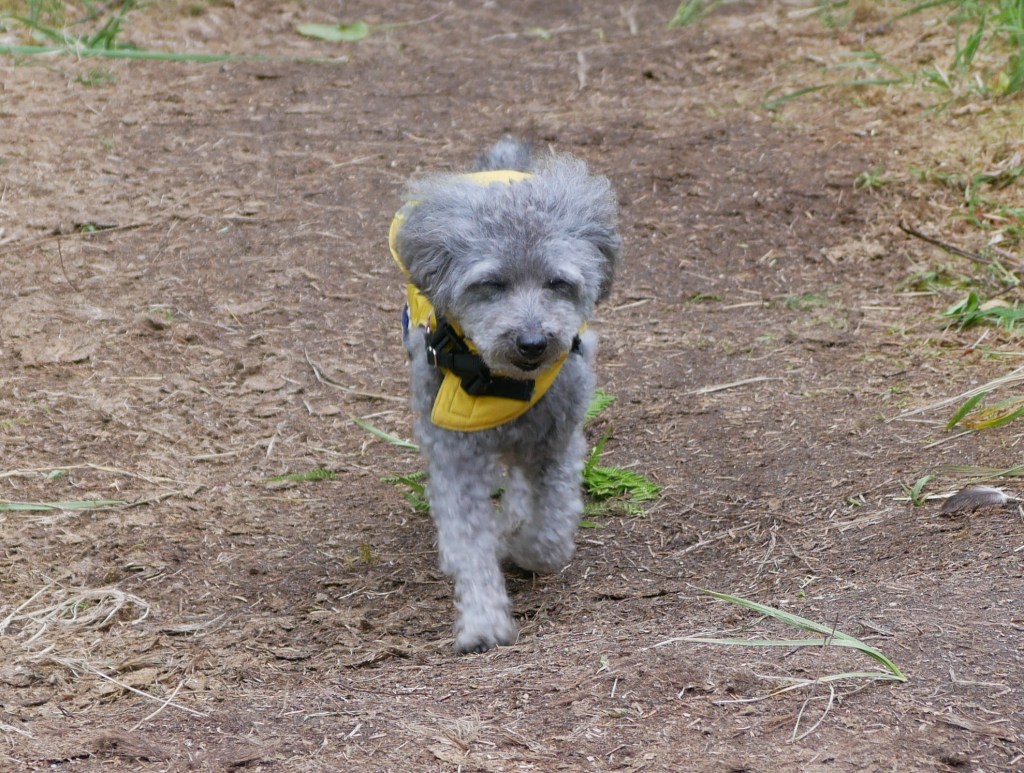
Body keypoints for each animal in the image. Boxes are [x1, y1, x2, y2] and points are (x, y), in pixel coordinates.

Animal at [389, 137, 621, 653]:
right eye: (491, 284)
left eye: (558, 283)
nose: (533, 343)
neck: (502, 386)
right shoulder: (454, 455)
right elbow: (468, 541)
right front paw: (482, 623)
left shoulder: (558, 442)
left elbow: (551, 527)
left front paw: (524, 548)